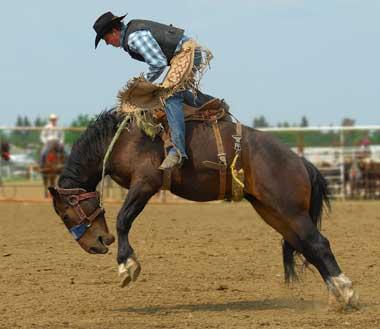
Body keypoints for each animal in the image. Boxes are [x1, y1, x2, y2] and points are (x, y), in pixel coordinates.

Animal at [49, 110, 358, 308]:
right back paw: (337, 294)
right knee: (306, 245)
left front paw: (127, 266)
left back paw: (347, 291)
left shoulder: (146, 183)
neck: (122, 138)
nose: (96, 244)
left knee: (318, 243)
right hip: (274, 212)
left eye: (65, 214)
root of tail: (300, 161)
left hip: (289, 210)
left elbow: (123, 219)